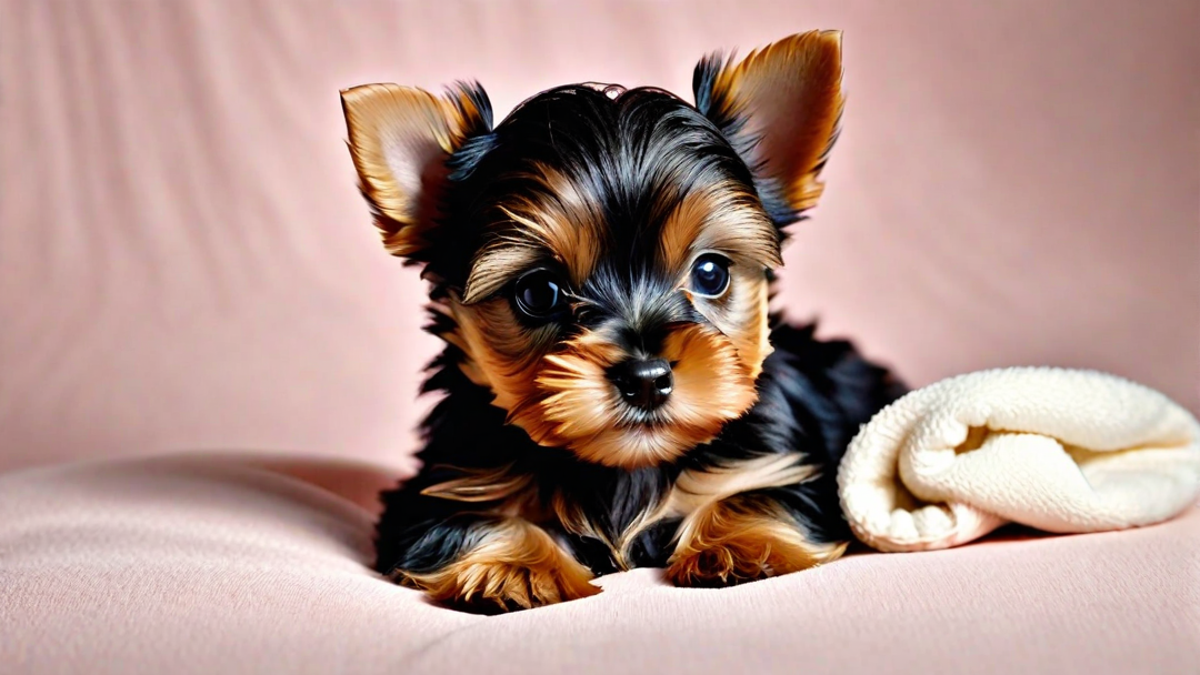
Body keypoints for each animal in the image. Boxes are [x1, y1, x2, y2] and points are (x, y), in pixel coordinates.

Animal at [338, 30, 902, 610]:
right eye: (538, 292)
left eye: (711, 272)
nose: (646, 379)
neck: (624, 470)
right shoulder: (440, 491)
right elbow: (476, 519)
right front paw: (513, 568)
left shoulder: (782, 466)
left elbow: (759, 495)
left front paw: (741, 546)